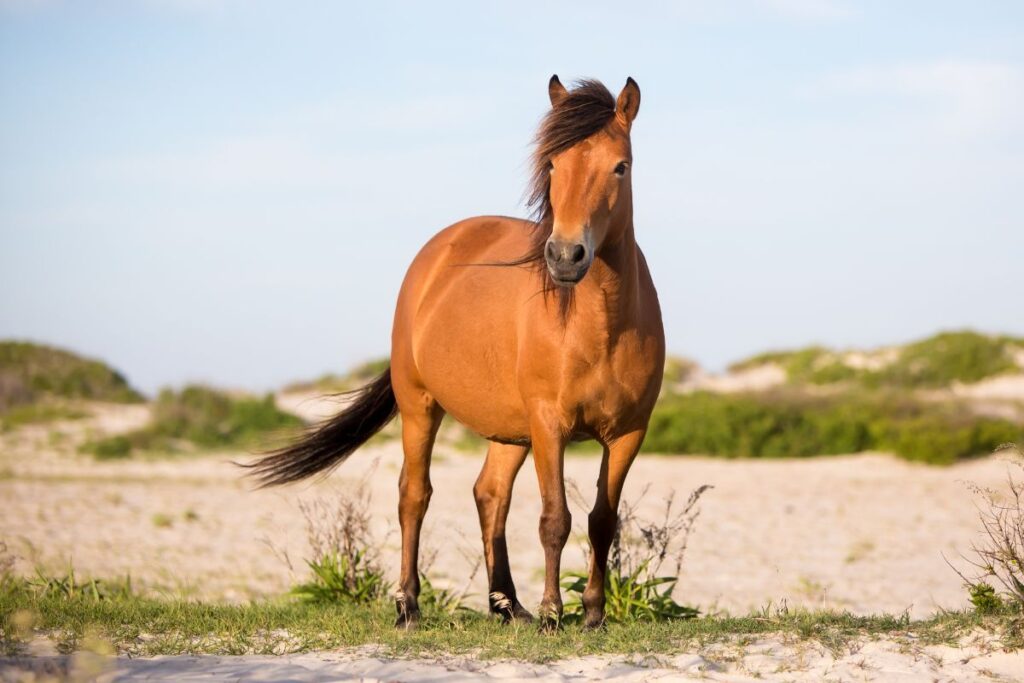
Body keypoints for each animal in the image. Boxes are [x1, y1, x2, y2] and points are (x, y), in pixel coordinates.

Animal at [246, 75, 665, 630]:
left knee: (490, 495)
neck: (601, 327)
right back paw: (408, 605)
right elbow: (555, 519)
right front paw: (554, 614)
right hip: (421, 405)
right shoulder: (550, 424)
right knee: (414, 495)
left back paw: (506, 605)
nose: (565, 256)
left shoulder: (628, 434)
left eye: (621, 166)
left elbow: (602, 520)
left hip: (510, 430)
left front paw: (592, 614)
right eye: (554, 164)